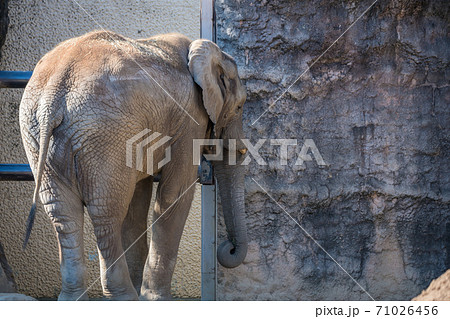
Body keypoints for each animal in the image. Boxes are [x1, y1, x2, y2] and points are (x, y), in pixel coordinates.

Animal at [19, 31, 248, 302]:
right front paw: (156, 300)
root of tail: (54, 92)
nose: (228, 247)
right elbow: (174, 194)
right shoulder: (190, 117)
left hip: (37, 132)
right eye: (240, 106)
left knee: (63, 213)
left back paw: (74, 299)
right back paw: (123, 296)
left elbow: (137, 202)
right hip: (104, 133)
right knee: (107, 213)